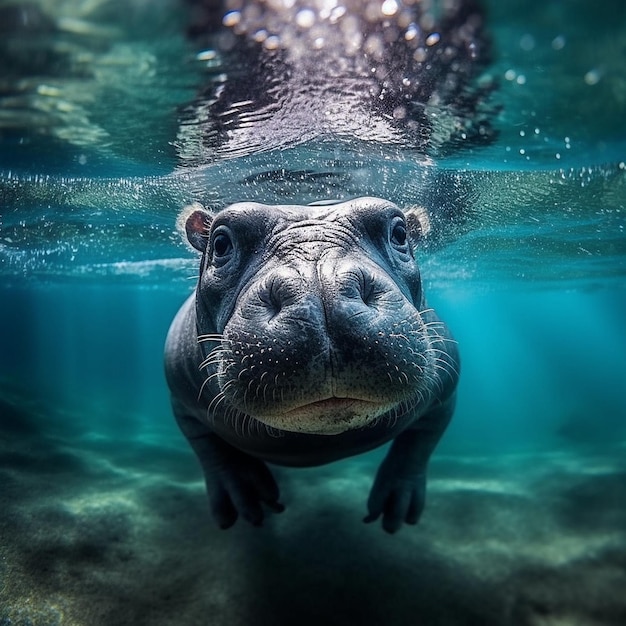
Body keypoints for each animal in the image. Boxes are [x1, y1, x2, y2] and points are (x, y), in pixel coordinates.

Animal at [165, 196, 458, 532]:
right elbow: (210, 449)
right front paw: (247, 501)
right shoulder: (183, 402)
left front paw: (396, 507)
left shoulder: (444, 393)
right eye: (221, 243)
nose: (319, 285)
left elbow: (420, 444)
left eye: (399, 233)